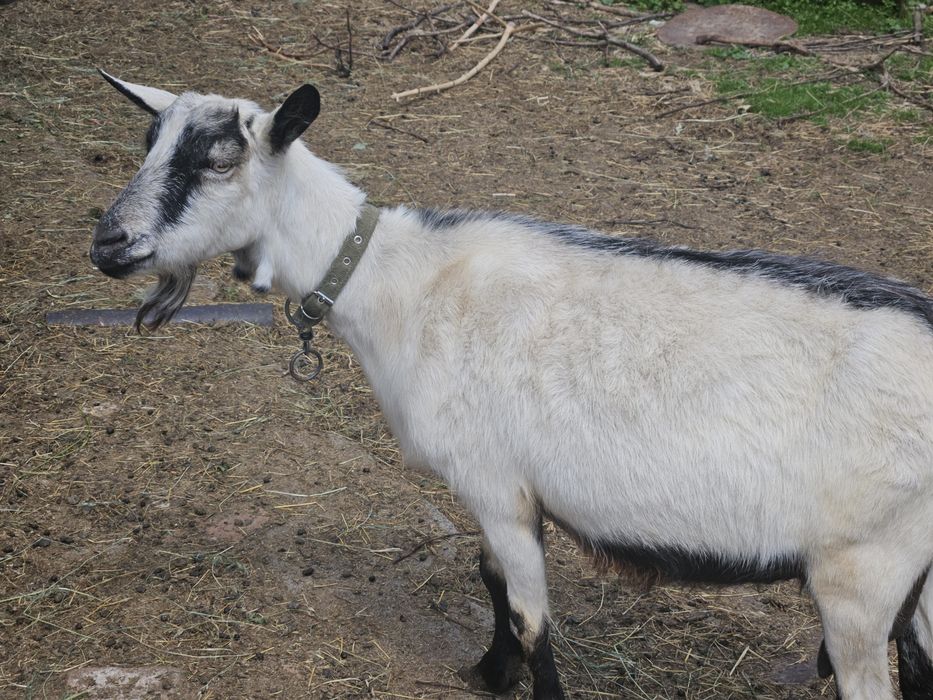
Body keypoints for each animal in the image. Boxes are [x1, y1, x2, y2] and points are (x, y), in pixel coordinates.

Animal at [89, 73, 933, 700]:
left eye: (219, 159)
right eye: (148, 143)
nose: (108, 244)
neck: (400, 284)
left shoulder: (495, 482)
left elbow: (531, 620)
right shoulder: (499, 494)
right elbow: (490, 579)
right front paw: (487, 672)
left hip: (861, 572)